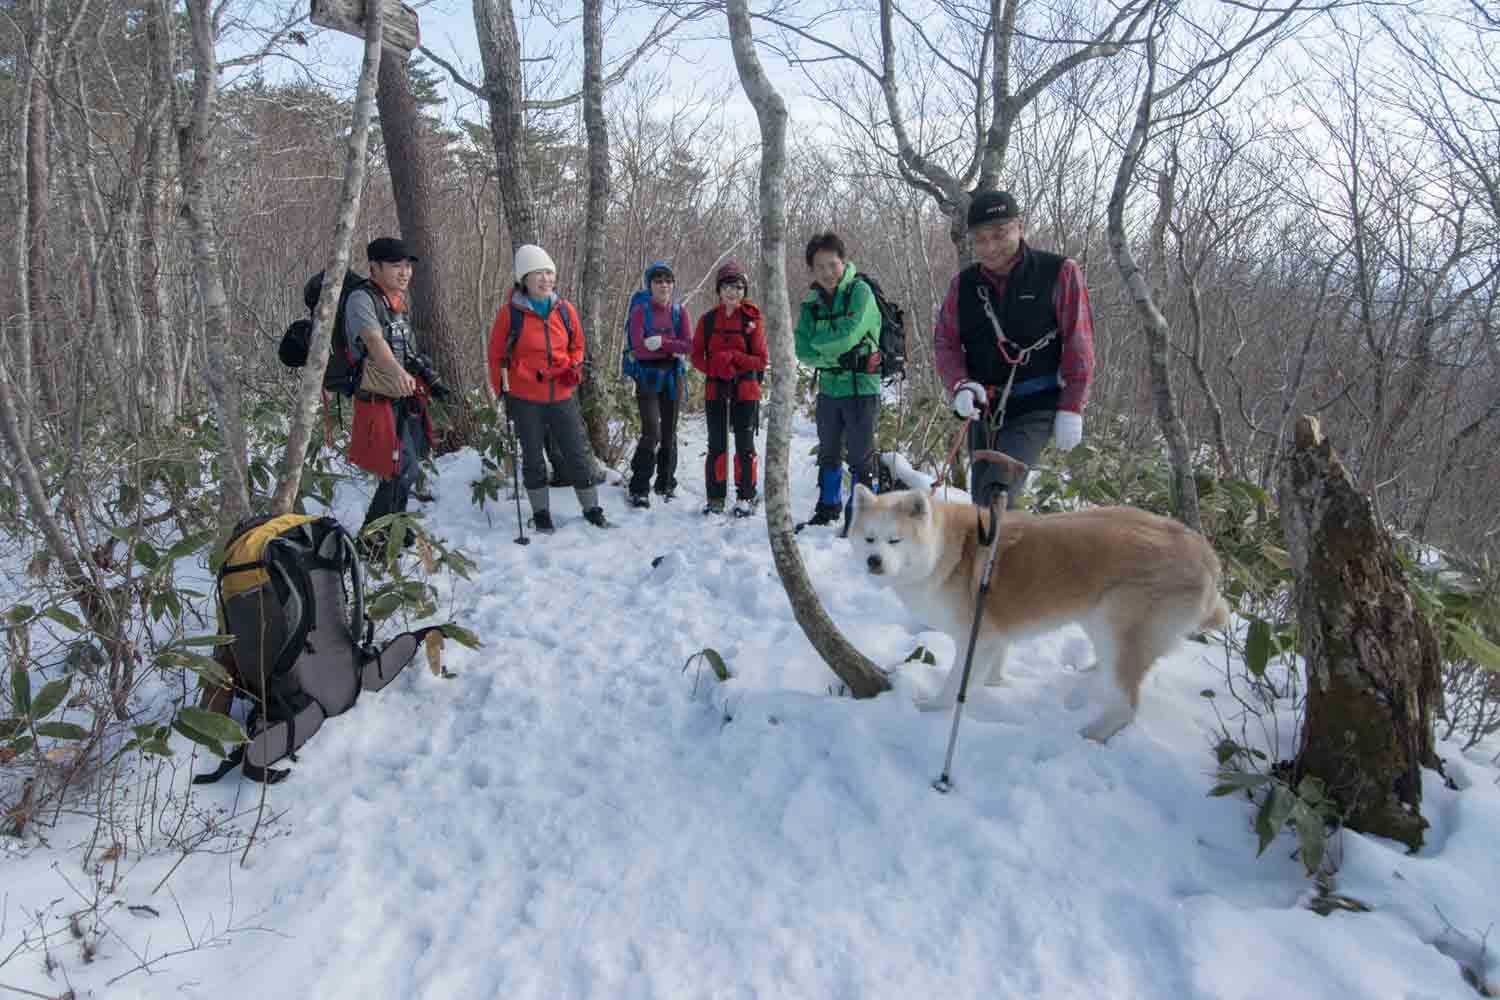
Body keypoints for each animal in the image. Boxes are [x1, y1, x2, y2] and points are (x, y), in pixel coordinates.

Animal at [848, 483, 1230, 742]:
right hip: (1099, 622)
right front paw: (996, 685)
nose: (874, 562)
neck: (948, 551)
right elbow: (994, 667)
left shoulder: (976, 639)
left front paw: (932, 710)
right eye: (869, 539)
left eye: (895, 541)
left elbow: (954, 685)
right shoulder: (994, 635)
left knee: (1127, 705)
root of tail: (1206, 554)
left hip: (1116, 623)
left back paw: (1090, 734)